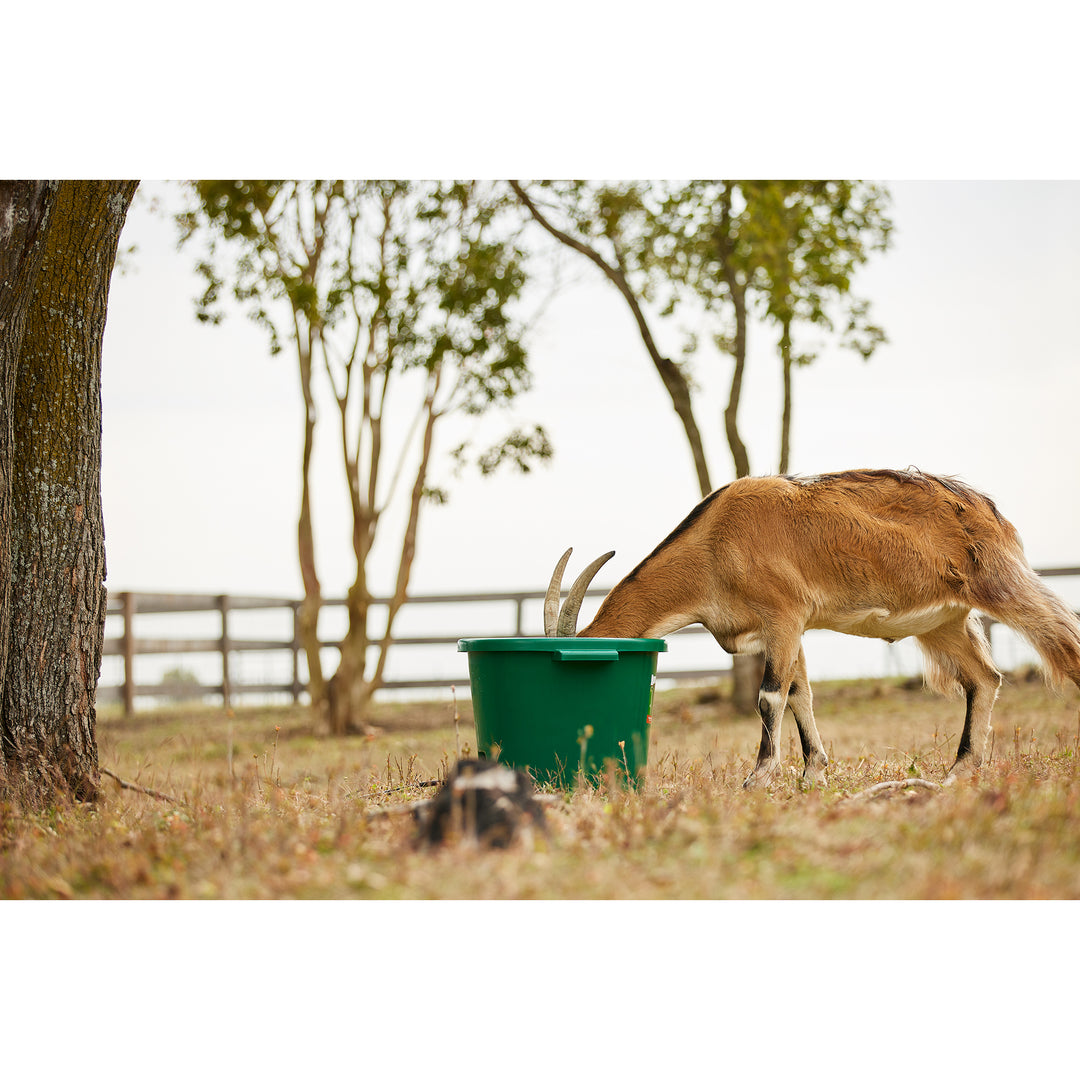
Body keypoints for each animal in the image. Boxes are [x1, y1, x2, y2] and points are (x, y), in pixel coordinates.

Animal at [544, 468, 1080, 790]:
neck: (715, 543)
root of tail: (988, 511)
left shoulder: (783, 615)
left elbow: (769, 696)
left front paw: (759, 777)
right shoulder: (784, 628)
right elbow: (799, 692)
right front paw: (813, 774)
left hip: (1001, 583)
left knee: (1062, 639)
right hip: (942, 621)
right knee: (984, 679)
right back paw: (961, 770)